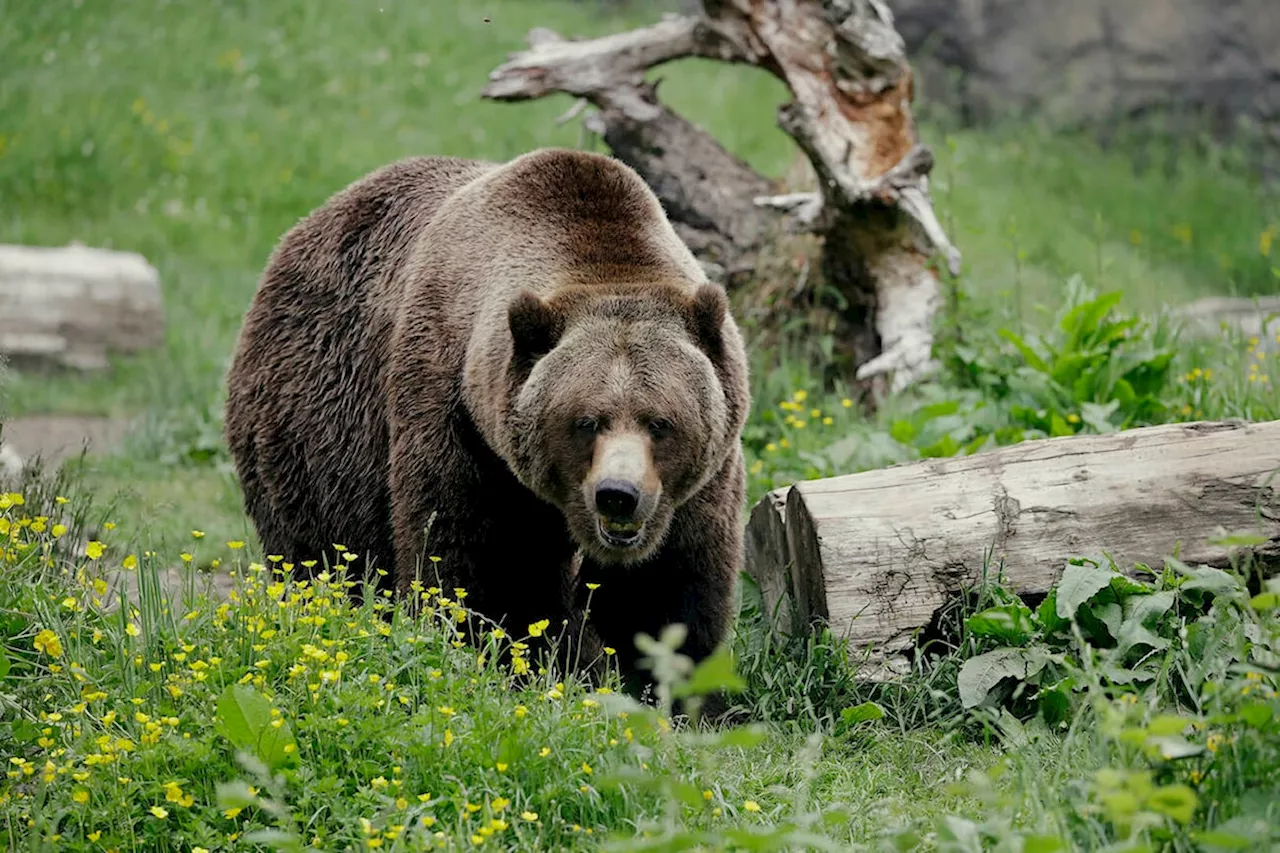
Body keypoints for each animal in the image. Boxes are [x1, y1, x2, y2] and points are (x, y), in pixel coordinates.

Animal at [226, 146, 752, 691]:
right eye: (586, 421)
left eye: (659, 422)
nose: (618, 495)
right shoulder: (459, 421)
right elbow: (481, 567)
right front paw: (512, 662)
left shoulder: (697, 484)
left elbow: (668, 590)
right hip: (317, 427)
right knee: (323, 551)